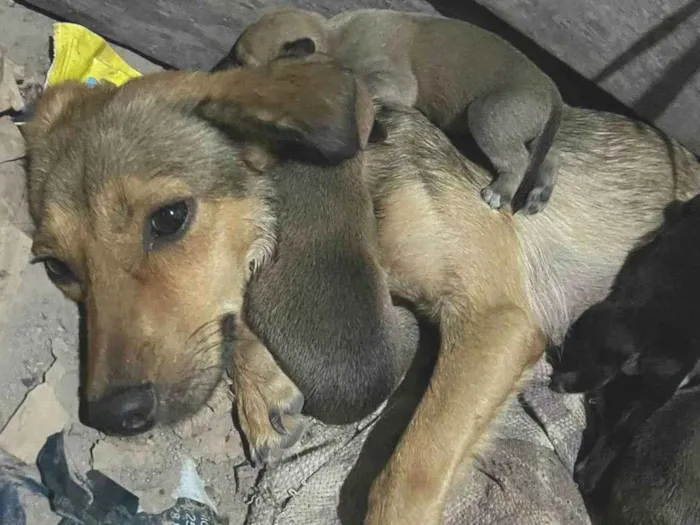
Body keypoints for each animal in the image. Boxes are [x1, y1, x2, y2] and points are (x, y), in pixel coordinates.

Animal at [216, 7, 568, 214]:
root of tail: (553, 90)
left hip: (489, 115)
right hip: (520, 128)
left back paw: (501, 191)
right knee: (547, 156)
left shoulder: (391, 80)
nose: (214, 72)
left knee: (517, 160)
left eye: (242, 62)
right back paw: (540, 193)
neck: (333, 38)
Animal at [548, 191, 700, 492]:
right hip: (651, 394)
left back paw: (558, 370)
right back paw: (587, 475)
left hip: (599, 324)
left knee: (596, 372)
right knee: (618, 433)